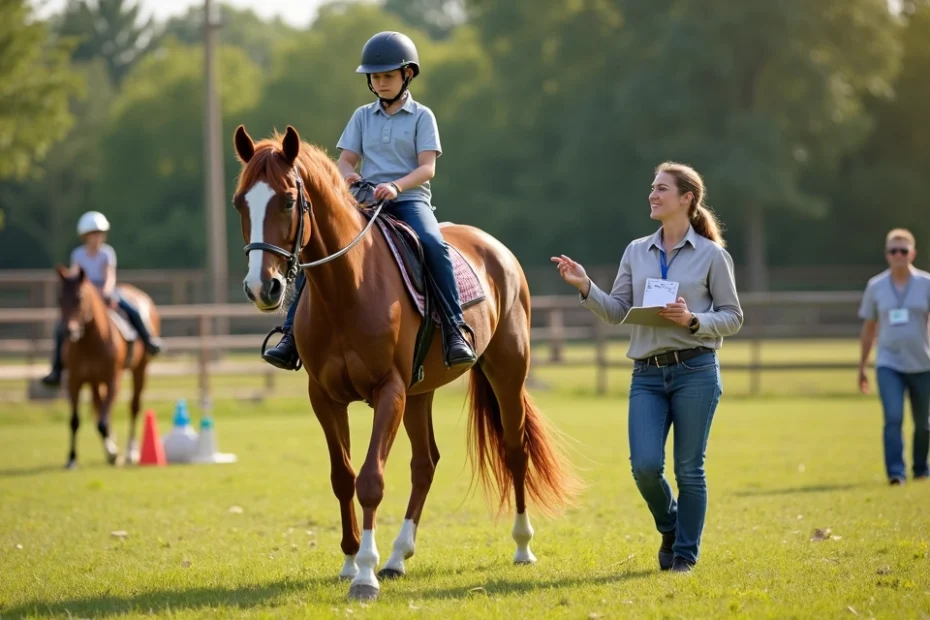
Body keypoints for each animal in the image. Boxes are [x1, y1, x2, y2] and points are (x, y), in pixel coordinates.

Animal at [54, 265, 161, 469]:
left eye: (79, 298)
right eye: (60, 299)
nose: (69, 331)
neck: (91, 341)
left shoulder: (113, 380)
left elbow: (102, 422)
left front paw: (114, 453)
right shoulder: (74, 381)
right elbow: (75, 420)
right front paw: (72, 458)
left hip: (140, 369)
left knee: (133, 407)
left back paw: (130, 452)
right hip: (95, 381)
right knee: (100, 407)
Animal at [230, 124, 583, 601]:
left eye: (287, 200)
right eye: (239, 202)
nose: (261, 287)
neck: (347, 287)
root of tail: (496, 249)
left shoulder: (389, 391)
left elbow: (370, 480)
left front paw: (364, 576)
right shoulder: (324, 397)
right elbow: (342, 476)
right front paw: (349, 561)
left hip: (506, 374)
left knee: (515, 451)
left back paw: (522, 546)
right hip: (422, 392)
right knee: (425, 464)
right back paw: (398, 556)